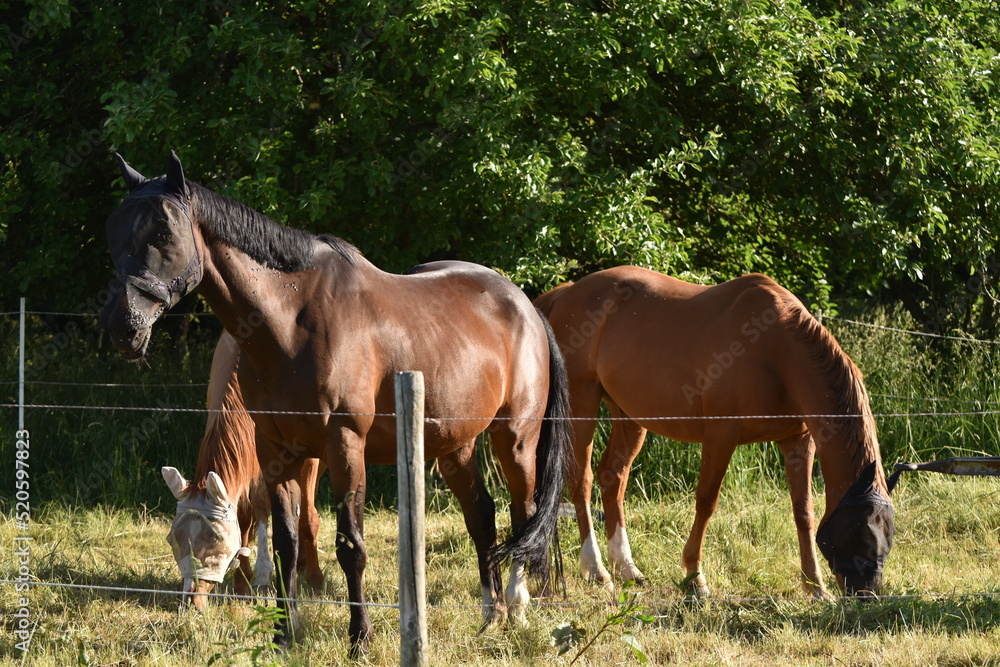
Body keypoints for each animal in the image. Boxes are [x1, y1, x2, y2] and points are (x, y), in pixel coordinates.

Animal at [160, 330, 322, 612]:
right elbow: (245, 517)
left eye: (215, 543)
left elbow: (307, 515)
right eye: (173, 540)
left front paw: (314, 580)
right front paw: (244, 582)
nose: (191, 600)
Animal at [536, 266, 896, 600]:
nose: (867, 593)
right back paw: (596, 569)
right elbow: (706, 501)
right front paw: (695, 578)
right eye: (862, 530)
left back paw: (626, 567)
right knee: (582, 480)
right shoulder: (722, 435)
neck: (775, 350)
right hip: (583, 403)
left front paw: (815, 586)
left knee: (613, 477)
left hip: (629, 415)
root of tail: (568, 292)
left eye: (888, 533)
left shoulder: (798, 442)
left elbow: (802, 509)